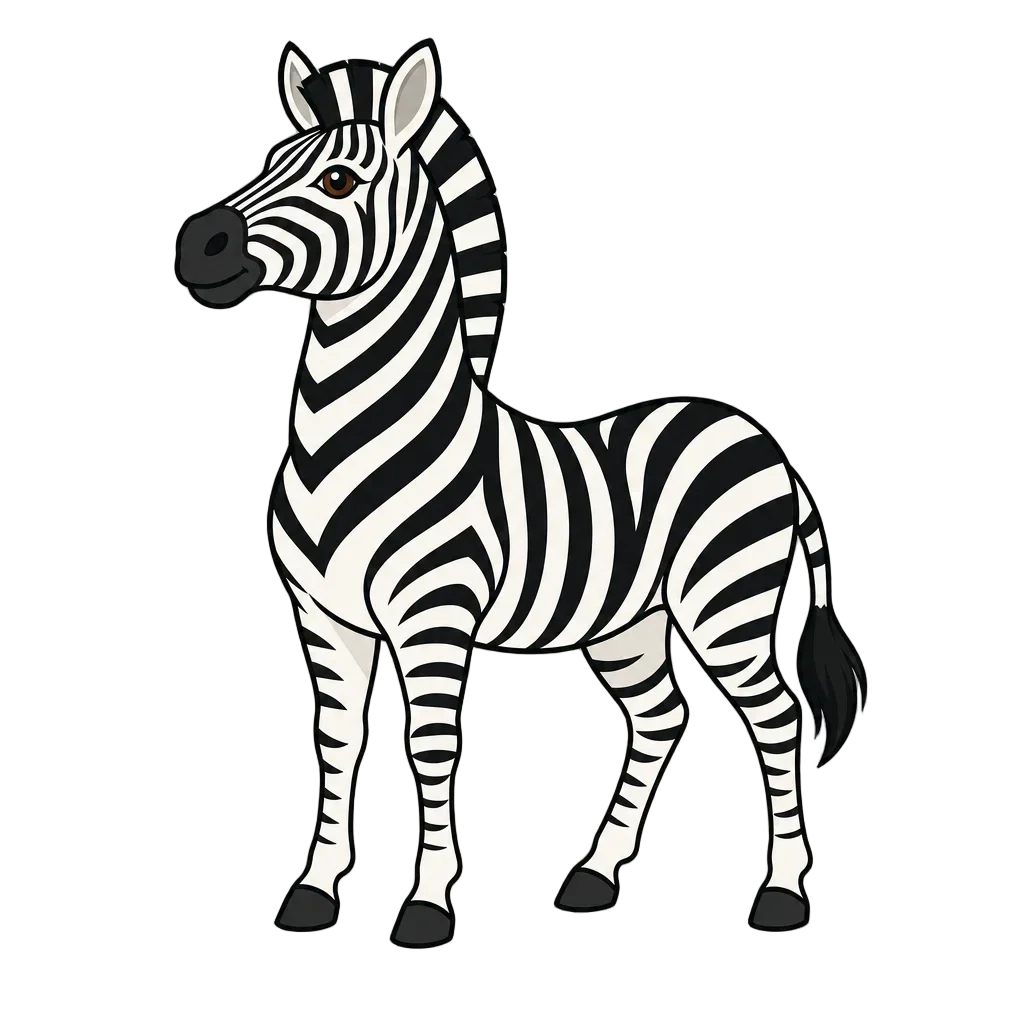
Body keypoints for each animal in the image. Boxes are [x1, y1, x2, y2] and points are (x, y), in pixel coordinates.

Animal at [176, 39, 865, 946]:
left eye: (338, 181)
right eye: (267, 165)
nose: (198, 247)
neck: (353, 443)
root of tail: (763, 444)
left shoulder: (433, 616)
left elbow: (430, 749)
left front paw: (429, 905)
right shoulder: (325, 618)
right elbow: (338, 745)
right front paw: (316, 892)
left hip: (724, 607)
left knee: (775, 720)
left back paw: (781, 896)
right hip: (627, 625)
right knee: (659, 718)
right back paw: (594, 878)